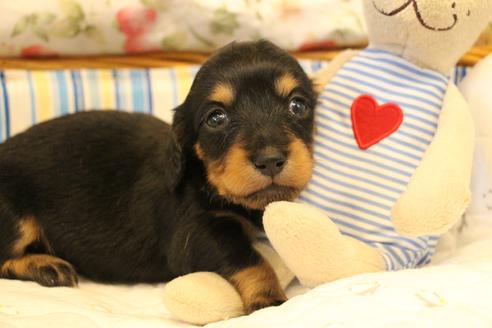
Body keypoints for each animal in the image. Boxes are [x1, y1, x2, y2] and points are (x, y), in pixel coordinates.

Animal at [0, 40, 316, 312]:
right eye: (216, 117)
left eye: (297, 105)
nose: (270, 160)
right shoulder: (197, 234)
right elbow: (250, 259)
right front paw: (269, 298)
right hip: (15, 219)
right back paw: (46, 266)